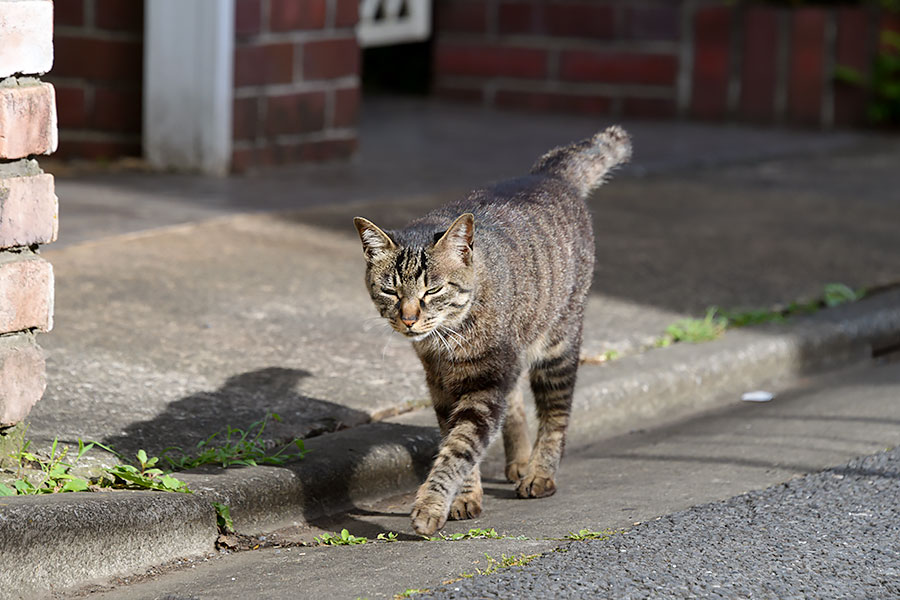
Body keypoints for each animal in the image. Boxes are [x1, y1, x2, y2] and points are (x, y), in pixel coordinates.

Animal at [354, 126, 632, 536]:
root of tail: (549, 173)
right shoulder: (442, 386)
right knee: (516, 403)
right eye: (390, 290)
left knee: (556, 412)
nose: (408, 318)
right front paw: (464, 498)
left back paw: (540, 473)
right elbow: (455, 441)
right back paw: (519, 461)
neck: (449, 338)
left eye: (432, 290)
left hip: (556, 345)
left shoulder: (486, 384)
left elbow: (459, 448)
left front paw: (431, 505)